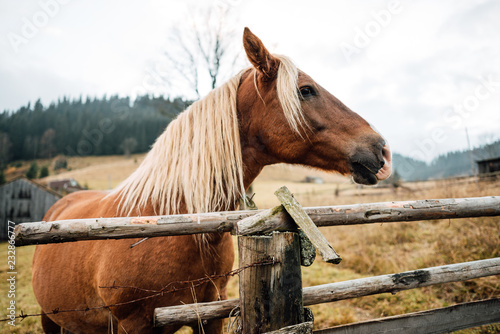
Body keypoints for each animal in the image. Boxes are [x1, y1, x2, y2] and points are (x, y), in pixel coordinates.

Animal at [31, 28, 392, 334]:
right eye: (305, 90)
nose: (382, 150)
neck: (175, 221)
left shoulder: (212, 313)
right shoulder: (134, 325)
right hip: (50, 319)